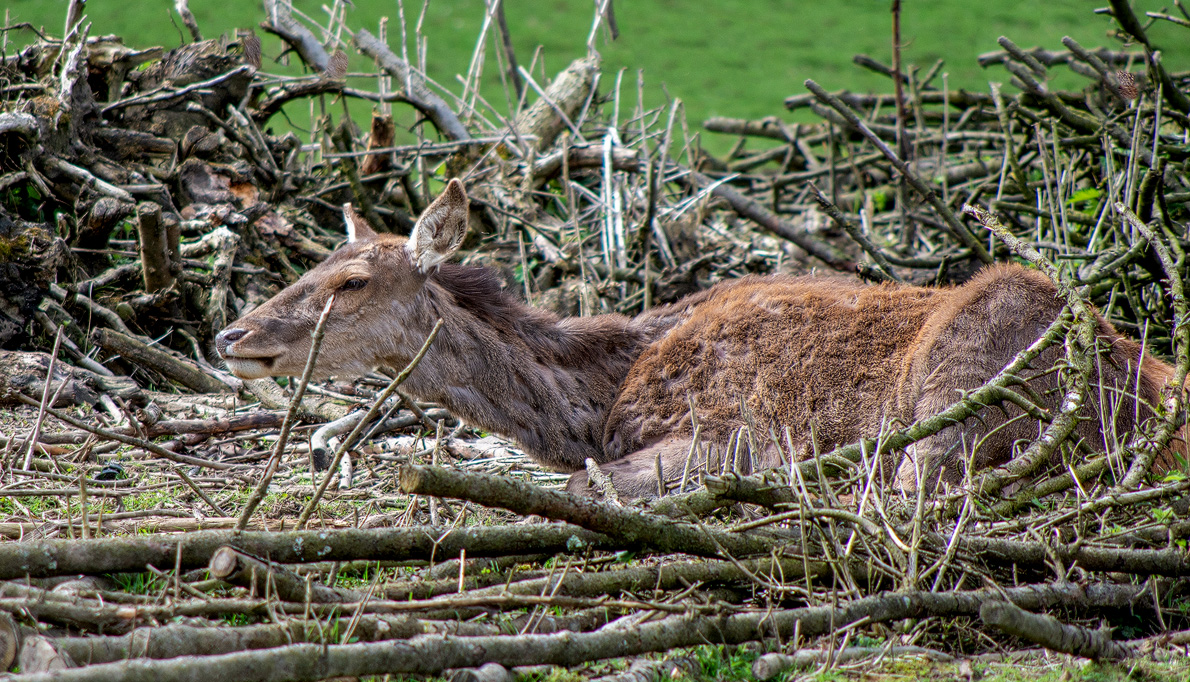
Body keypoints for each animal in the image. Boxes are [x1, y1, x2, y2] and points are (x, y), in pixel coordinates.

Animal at [216, 178, 1190, 497]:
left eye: (350, 282)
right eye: (318, 258)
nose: (232, 334)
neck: (595, 398)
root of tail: (1139, 402)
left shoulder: (727, 434)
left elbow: (595, 484)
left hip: (966, 382)